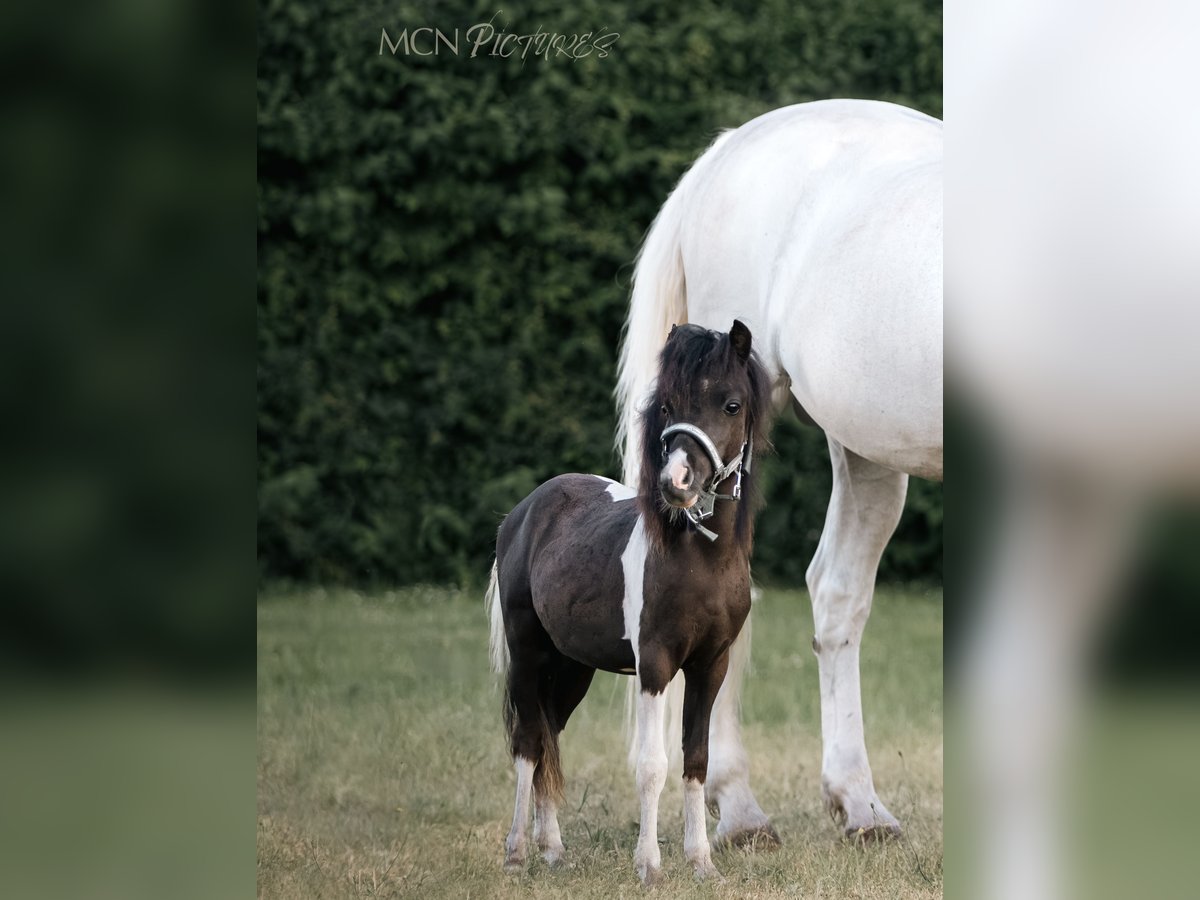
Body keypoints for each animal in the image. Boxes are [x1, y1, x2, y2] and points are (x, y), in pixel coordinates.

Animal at [489, 321, 777, 888]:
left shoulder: (710, 666)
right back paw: (515, 853)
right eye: (667, 404)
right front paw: (649, 865)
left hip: (572, 669)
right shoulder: (655, 666)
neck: (700, 557)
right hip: (528, 655)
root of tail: (523, 513)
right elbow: (651, 765)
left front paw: (702, 862)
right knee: (529, 745)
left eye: (731, 404)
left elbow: (696, 759)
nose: (676, 482)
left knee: (550, 738)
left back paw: (553, 849)